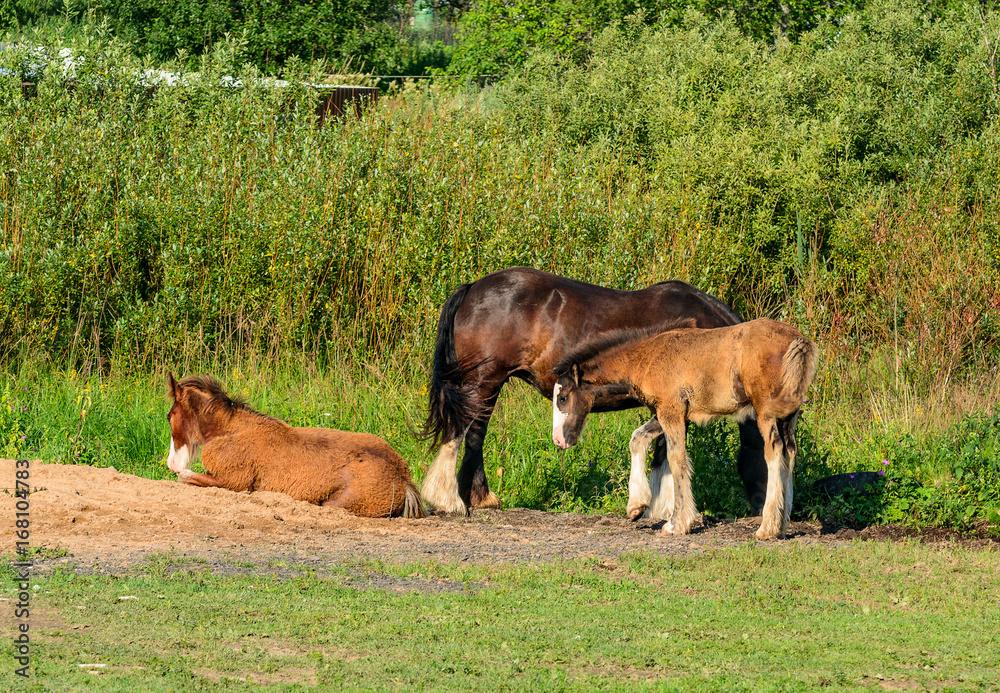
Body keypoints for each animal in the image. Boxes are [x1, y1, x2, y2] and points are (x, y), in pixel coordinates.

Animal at [166, 374, 426, 519]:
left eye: (169, 416)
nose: (171, 463)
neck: (231, 429)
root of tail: (403, 479)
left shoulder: (233, 483)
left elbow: (185, 477)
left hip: (339, 504)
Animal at [421, 266, 769, 516]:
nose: (763, 507)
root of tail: (472, 289)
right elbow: (665, 452)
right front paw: (660, 508)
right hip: (483, 381)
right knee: (459, 431)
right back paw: (448, 500)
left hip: (489, 385)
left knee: (475, 434)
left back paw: (477, 497)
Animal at [551, 318, 818, 540]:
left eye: (562, 397)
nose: (559, 440)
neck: (647, 358)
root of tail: (799, 340)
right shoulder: (668, 414)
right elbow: (637, 439)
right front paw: (636, 506)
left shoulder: (671, 411)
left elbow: (676, 459)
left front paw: (677, 524)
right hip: (788, 416)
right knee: (790, 453)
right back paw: (782, 525)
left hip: (766, 412)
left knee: (774, 452)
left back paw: (766, 528)